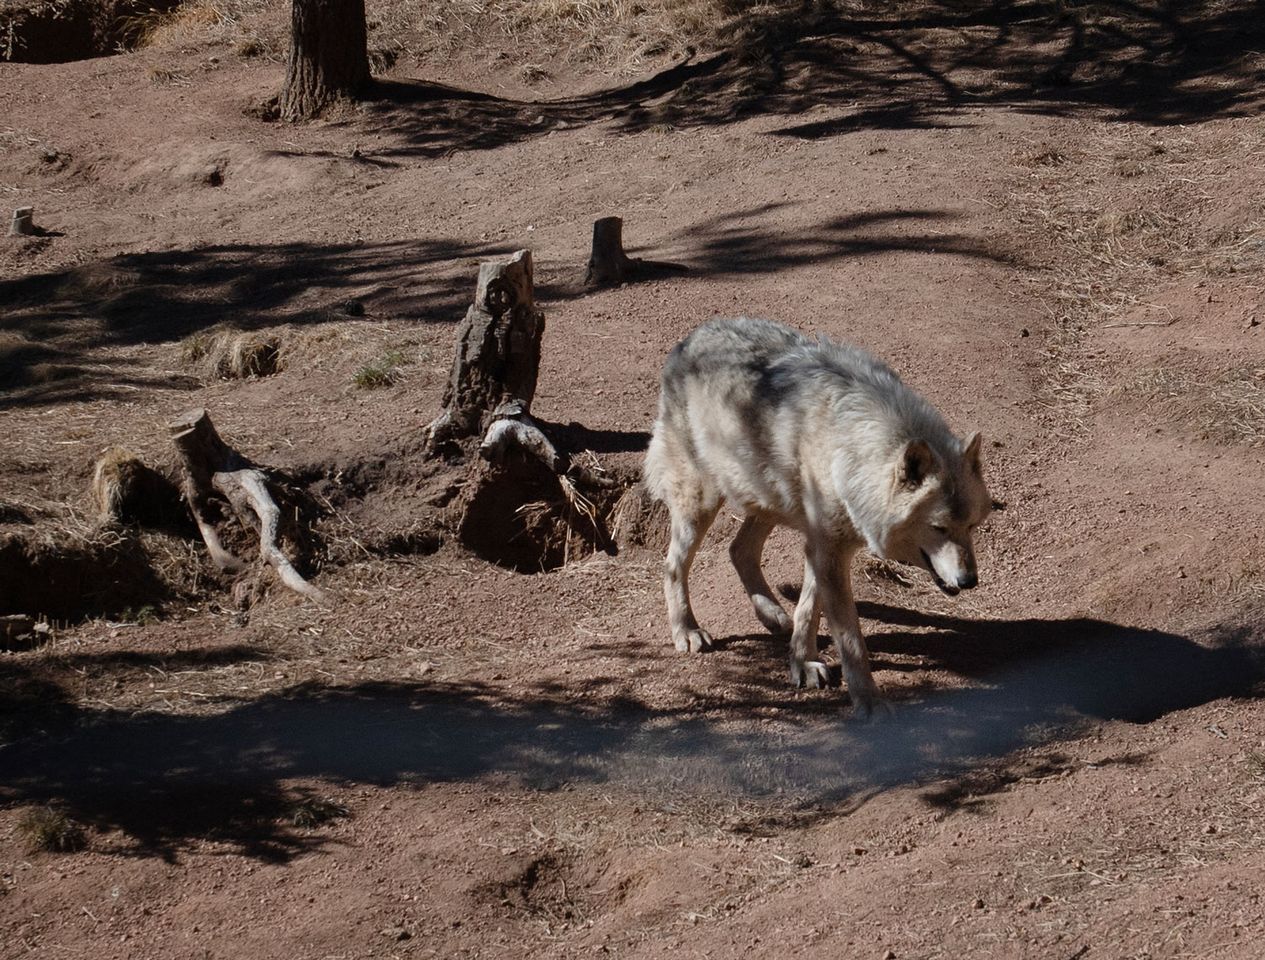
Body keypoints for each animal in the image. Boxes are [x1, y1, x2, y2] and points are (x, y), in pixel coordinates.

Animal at [643, 317, 992, 716]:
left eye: (972, 526)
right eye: (938, 528)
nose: (969, 580)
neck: (852, 445)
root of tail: (692, 337)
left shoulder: (824, 546)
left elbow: (809, 609)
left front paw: (802, 662)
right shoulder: (828, 550)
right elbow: (851, 640)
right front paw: (869, 702)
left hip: (768, 497)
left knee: (739, 550)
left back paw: (771, 614)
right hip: (702, 502)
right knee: (674, 565)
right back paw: (686, 631)